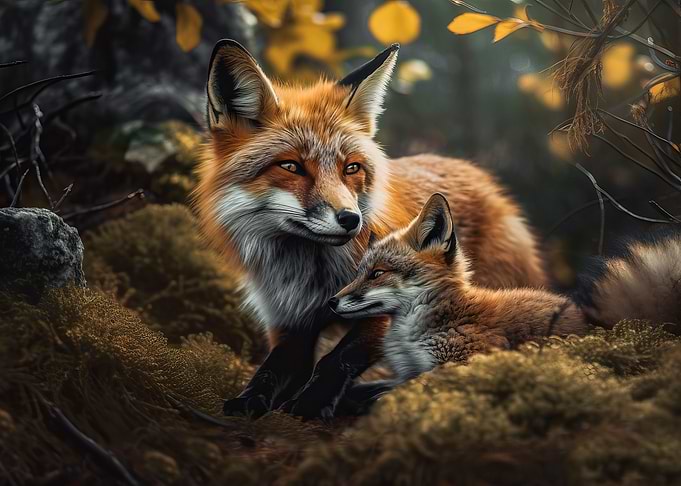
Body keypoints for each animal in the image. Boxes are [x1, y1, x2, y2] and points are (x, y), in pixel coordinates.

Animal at [193, 39, 548, 419]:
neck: (308, 272)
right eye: (290, 166)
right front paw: (250, 399)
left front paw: (308, 404)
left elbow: (336, 360)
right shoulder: (288, 321)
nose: (351, 219)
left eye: (351, 168)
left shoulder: (387, 309)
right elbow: (272, 368)